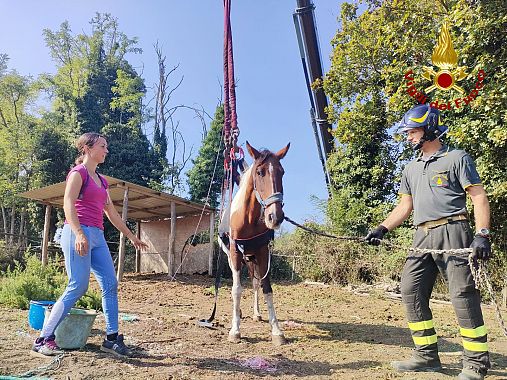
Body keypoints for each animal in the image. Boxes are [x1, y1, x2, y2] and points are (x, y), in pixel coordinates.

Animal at [217, 141, 290, 346]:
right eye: (260, 172)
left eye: (282, 172)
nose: (275, 217)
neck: (248, 218)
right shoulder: (235, 253)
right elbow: (236, 289)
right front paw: (235, 330)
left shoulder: (263, 252)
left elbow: (266, 288)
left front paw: (276, 331)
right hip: (237, 258)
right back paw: (239, 313)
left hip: (252, 259)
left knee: (256, 284)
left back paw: (256, 313)